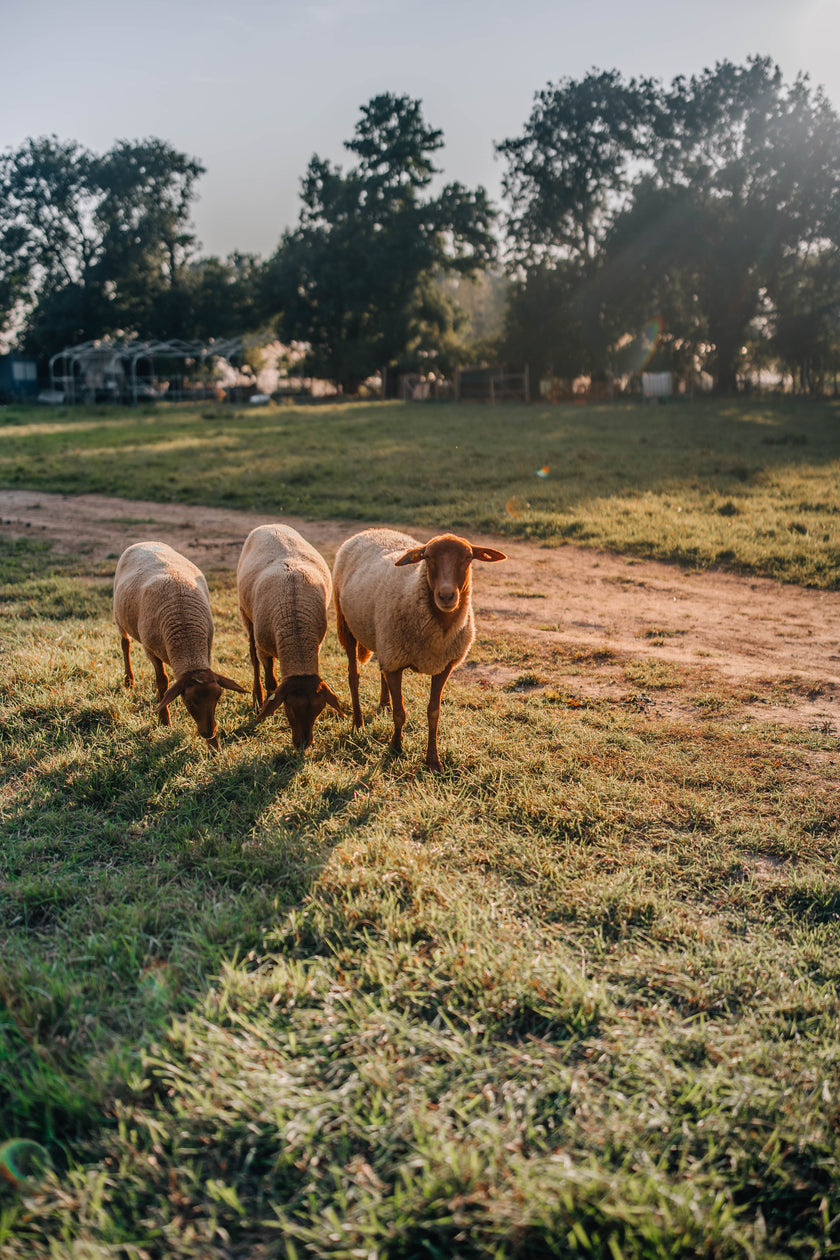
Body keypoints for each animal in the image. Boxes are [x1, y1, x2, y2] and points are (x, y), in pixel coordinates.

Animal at [111, 539, 244, 745]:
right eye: (188, 702)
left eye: (219, 696)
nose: (208, 733)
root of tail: (145, 541)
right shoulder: (151, 650)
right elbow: (163, 683)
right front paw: (164, 720)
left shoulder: (207, 650)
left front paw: (214, 745)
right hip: (119, 617)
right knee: (125, 644)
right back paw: (129, 680)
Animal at [235, 521, 342, 745]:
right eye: (289, 709)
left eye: (319, 711)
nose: (304, 744)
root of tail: (270, 524)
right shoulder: (264, 648)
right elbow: (272, 682)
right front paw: (266, 709)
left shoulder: (317, 644)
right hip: (246, 615)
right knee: (253, 658)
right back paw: (257, 698)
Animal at [332, 529, 506, 771]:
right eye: (428, 557)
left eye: (468, 557)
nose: (446, 596)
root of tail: (369, 531)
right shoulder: (396, 662)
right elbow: (400, 713)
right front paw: (395, 747)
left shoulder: (443, 665)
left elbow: (434, 712)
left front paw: (433, 760)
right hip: (346, 625)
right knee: (353, 676)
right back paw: (358, 724)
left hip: (383, 639)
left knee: (381, 668)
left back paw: (383, 704)